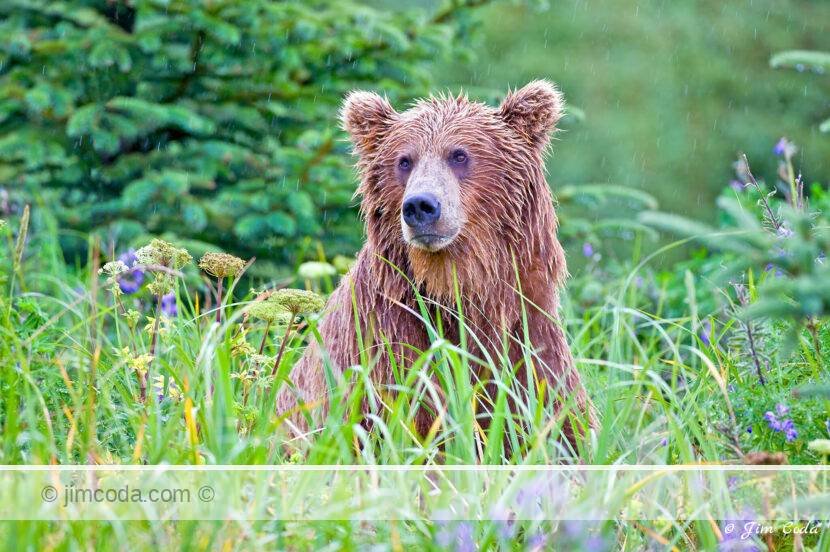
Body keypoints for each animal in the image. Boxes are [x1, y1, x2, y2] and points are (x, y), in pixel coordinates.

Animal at [278, 80, 595, 448]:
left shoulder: (527, 338)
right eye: (404, 160)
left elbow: (561, 425)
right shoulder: (382, 346)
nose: (420, 205)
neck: (452, 285)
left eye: (459, 154)